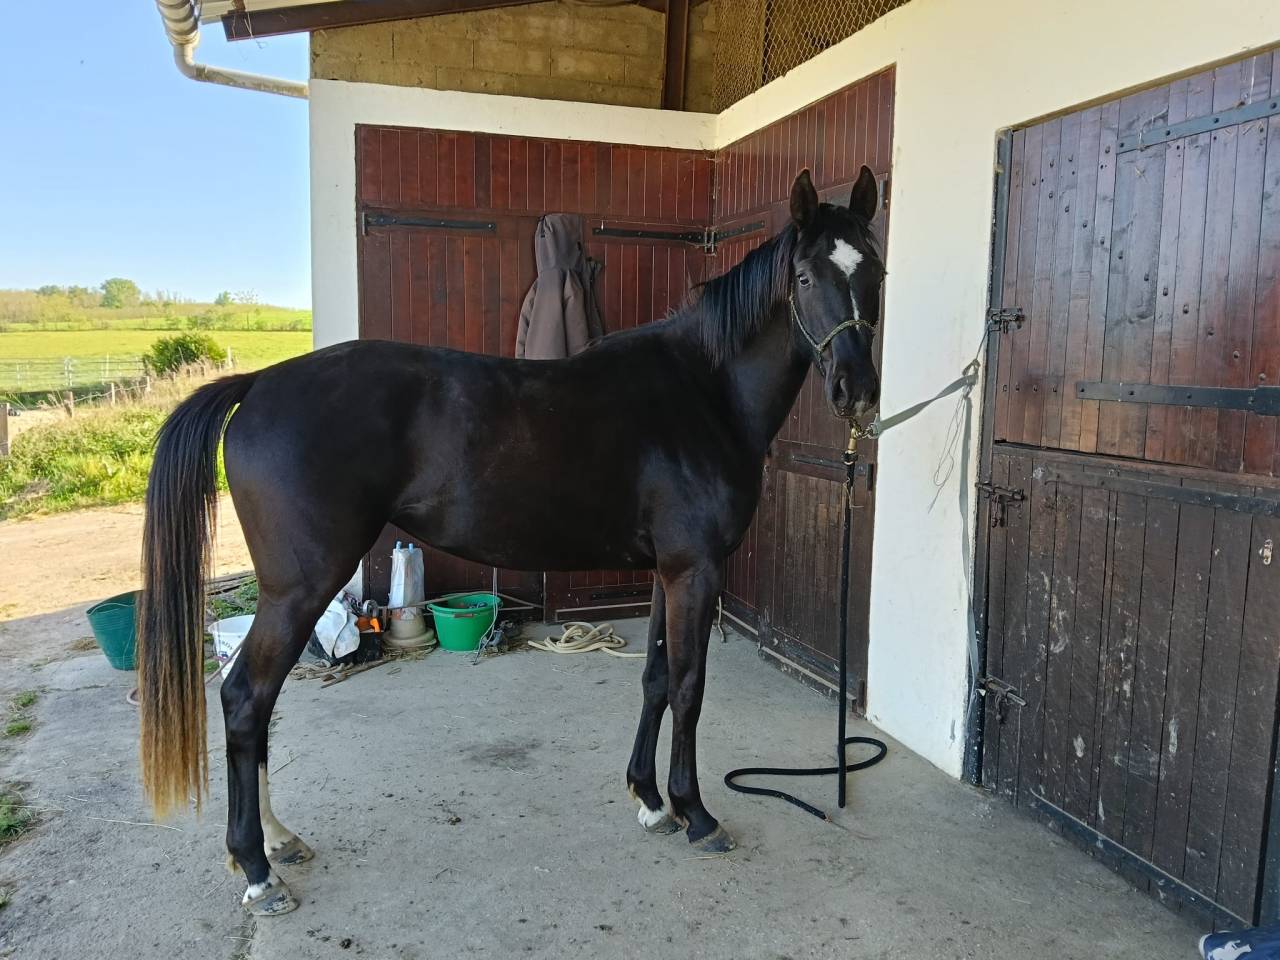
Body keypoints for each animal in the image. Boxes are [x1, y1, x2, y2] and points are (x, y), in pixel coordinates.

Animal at [137, 166, 886, 916]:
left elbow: (653, 680)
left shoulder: (663, 573)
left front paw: (649, 801)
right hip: (300, 588)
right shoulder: (695, 571)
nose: (857, 391)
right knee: (245, 700)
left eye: (875, 269)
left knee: (259, 706)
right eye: (806, 276)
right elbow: (689, 685)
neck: (702, 392)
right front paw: (695, 812)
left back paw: (278, 841)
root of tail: (258, 384)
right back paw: (258, 869)